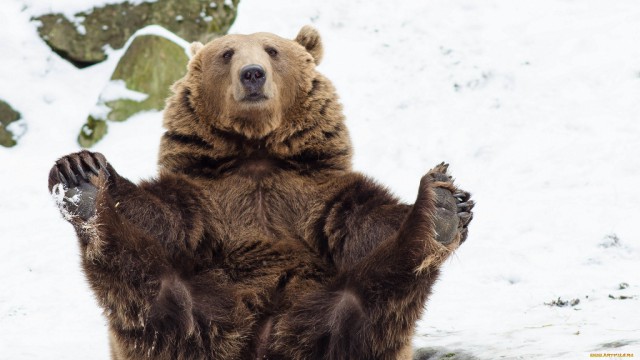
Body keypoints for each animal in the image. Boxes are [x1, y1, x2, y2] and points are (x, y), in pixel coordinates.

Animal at [47, 26, 472, 360]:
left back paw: (438, 212)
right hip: (199, 311)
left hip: (330, 313)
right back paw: (82, 191)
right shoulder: (209, 195)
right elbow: (165, 215)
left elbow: (361, 222)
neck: (257, 150)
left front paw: (458, 203)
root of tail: (263, 340)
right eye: (227, 53)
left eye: (272, 50)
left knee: (371, 298)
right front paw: (84, 169)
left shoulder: (312, 191)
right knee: (151, 290)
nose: (252, 75)